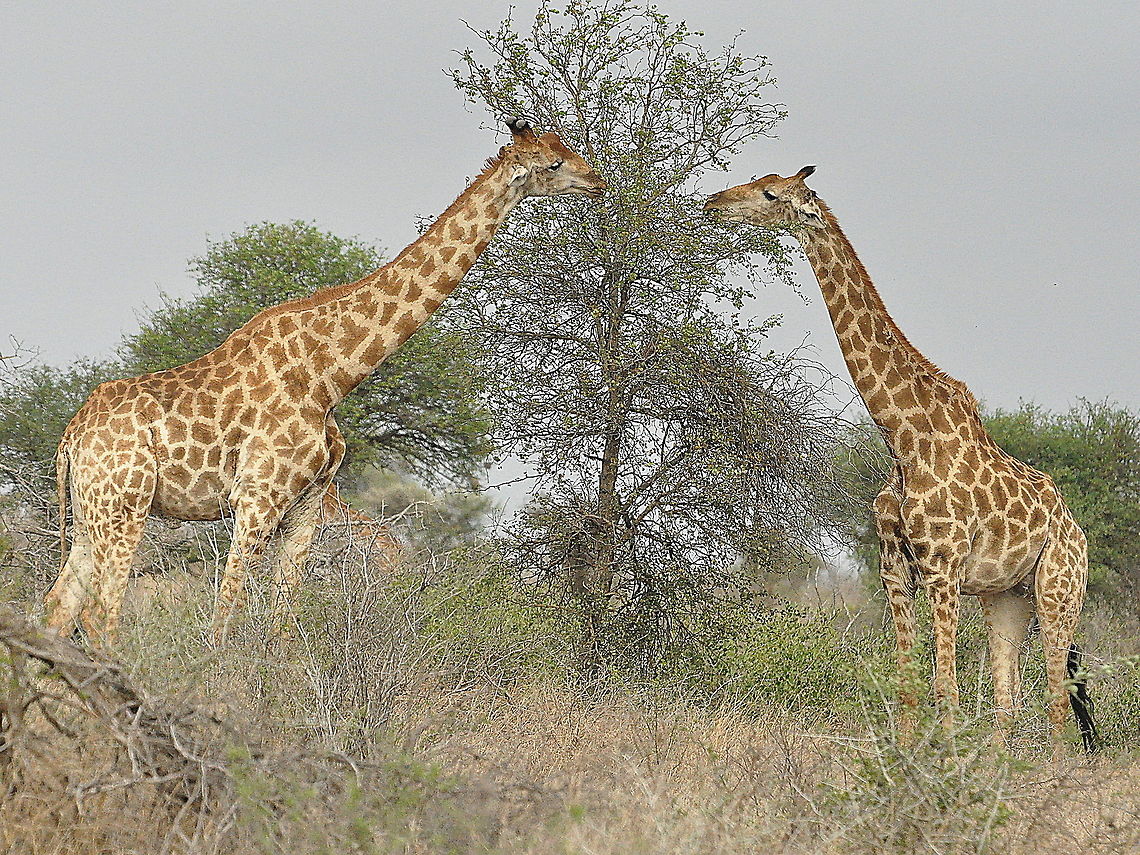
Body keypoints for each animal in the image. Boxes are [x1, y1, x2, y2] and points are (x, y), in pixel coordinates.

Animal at [45, 117, 606, 645]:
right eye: (553, 162)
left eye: (564, 147)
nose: (598, 180)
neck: (328, 376)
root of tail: (71, 439)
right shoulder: (256, 497)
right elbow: (226, 614)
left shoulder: (307, 505)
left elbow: (281, 620)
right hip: (124, 506)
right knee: (99, 615)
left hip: (92, 514)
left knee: (57, 607)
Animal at [704, 167, 1097, 751]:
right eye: (757, 178)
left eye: (771, 193)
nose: (713, 201)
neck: (904, 439)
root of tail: (1077, 530)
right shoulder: (894, 567)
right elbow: (909, 685)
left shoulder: (943, 568)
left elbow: (945, 688)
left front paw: (945, 763)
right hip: (1007, 597)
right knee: (1008, 702)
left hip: (1058, 590)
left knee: (1056, 703)